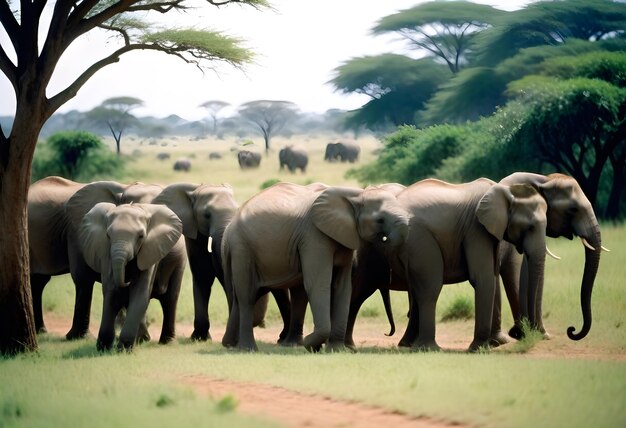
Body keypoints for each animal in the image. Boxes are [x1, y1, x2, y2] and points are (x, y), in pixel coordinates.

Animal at [71, 197, 183, 352]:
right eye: (108, 236)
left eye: (141, 236)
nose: (127, 280)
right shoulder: (106, 253)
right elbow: (111, 292)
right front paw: (103, 348)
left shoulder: (151, 250)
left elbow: (140, 293)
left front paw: (124, 349)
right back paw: (142, 340)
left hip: (179, 261)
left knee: (170, 300)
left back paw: (164, 342)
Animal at [219, 181, 410, 352]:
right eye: (380, 220)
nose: (387, 333)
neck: (356, 195)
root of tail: (228, 230)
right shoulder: (314, 236)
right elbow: (318, 284)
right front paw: (311, 344)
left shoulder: (344, 237)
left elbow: (342, 287)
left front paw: (336, 350)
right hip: (242, 249)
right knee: (247, 296)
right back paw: (248, 349)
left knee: (241, 296)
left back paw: (230, 345)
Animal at [348, 177, 548, 352]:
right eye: (530, 227)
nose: (520, 333)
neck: (502, 190)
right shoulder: (476, 229)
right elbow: (482, 278)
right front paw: (478, 349)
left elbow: (491, 275)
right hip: (416, 239)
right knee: (428, 288)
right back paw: (427, 348)